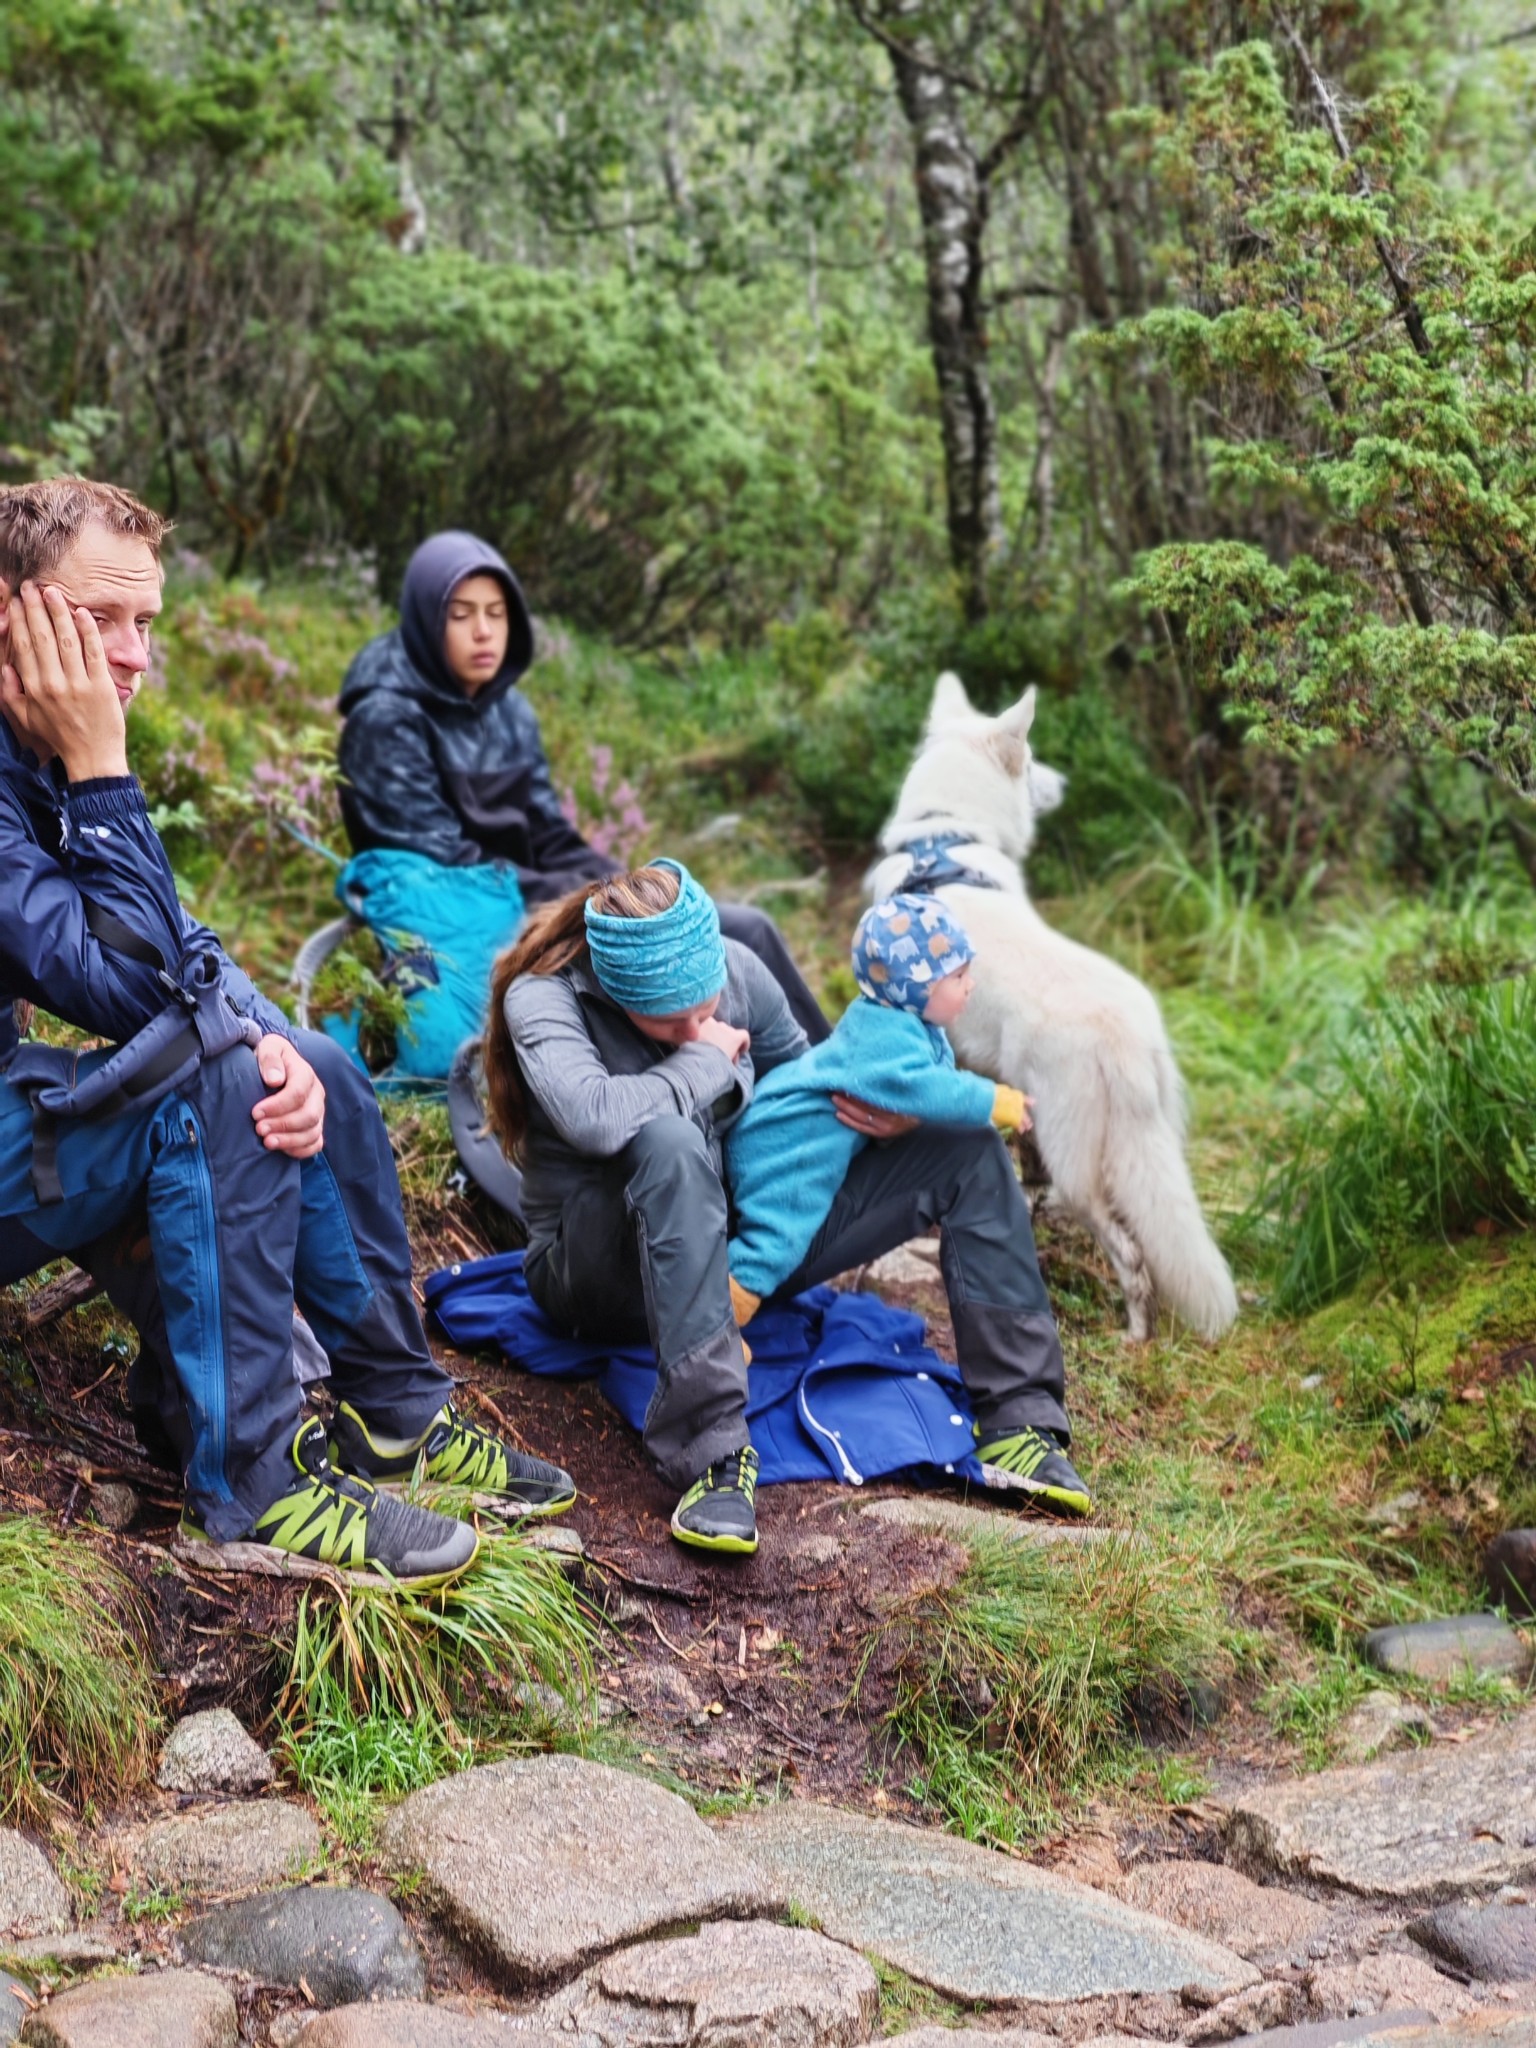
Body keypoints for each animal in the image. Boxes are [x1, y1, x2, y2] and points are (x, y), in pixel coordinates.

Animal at [872, 671, 1245, 1343]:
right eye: (1033, 760)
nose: (1063, 784)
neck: (943, 840)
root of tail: (1125, 1036)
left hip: (1081, 1168)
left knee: (1130, 1254)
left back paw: (1136, 1335)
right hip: (1146, 1142)